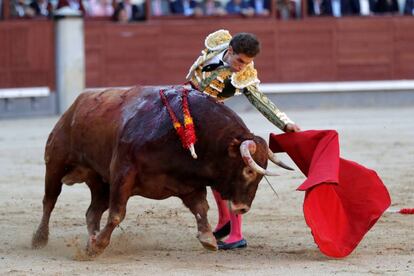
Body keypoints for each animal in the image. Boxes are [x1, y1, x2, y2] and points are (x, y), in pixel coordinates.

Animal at [31, 86, 288, 256]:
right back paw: (40, 239)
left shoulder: (190, 183)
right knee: (49, 201)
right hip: (56, 164)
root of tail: (76, 104)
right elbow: (117, 214)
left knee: (92, 212)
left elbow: (201, 208)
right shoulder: (123, 172)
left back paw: (90, 241)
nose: (243, 207)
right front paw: (101, 245)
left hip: (99, 181)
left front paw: (208, 238)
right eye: (248, 171)